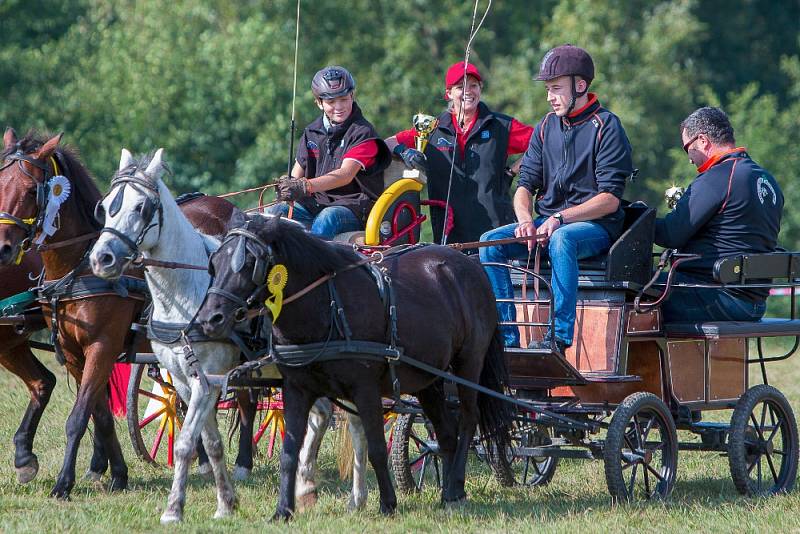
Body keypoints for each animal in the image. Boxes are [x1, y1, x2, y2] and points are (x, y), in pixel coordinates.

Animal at [0, 132, 253, 500]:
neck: (79, 267)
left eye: (32, 190)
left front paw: (64, 483)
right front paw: (115, 473)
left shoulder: (102, 346)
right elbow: (100, 413)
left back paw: (244, 463)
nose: (3, 248)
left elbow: (78, 417)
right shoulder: (76, 353)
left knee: (246, 397)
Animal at [197, 217, 516, 520]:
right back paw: (451, 493)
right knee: (447, 433)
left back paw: (456, 483)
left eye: (249, 263)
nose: (210, 319)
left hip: (468, 363)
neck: (325, 305)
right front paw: (283, 511)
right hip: (430, 379)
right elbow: (289, 452)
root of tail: (470, 265)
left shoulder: (365, 390)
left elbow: (376, 448)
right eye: (215, 262)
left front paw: (388, 504)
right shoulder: (296, 389)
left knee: (468, 420)